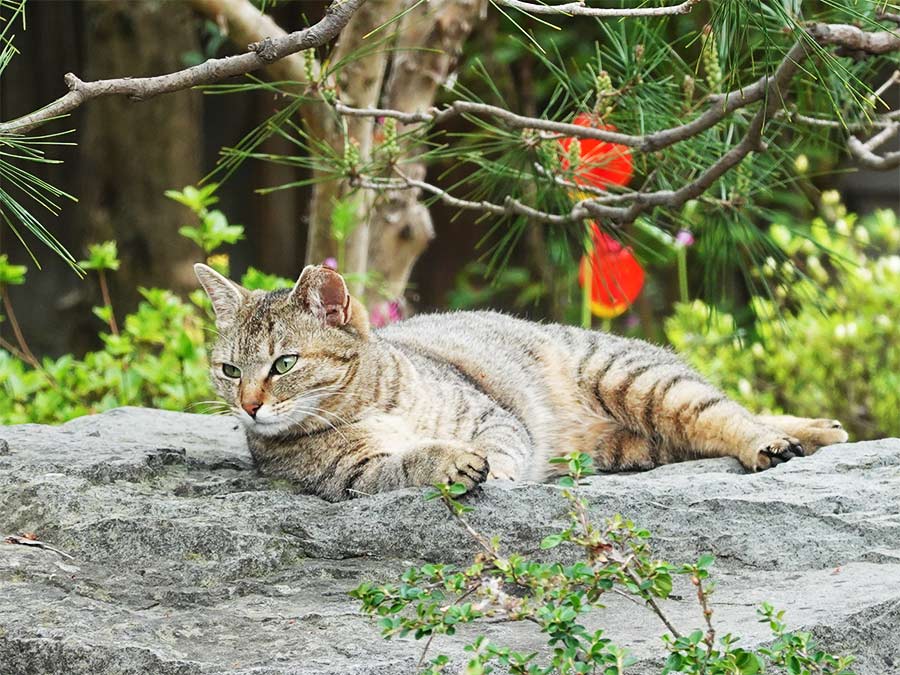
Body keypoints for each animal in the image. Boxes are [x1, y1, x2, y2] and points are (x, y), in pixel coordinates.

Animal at [193, 264, 848, 502]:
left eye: (284, 364)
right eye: (230, 371)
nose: (249, 407)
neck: (369, 398)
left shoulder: (490, 415)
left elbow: (501, 443)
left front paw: (497, 471)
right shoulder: (350, 475)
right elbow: (408, 461)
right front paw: (450, 462)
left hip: (640, 381)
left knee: (728, 414)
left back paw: (777, 441)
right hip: (643, 441)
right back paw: (819, 430)